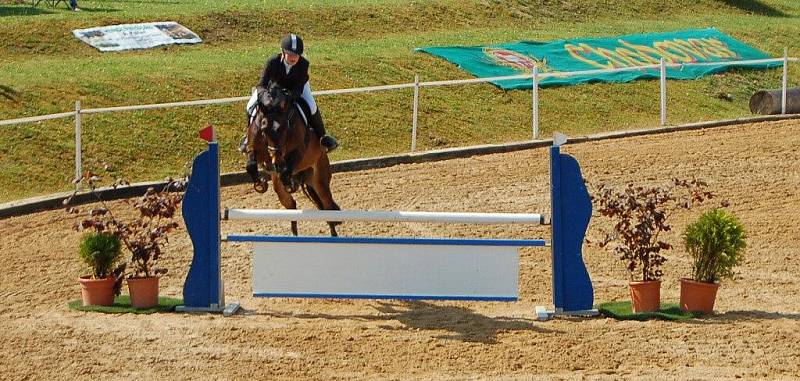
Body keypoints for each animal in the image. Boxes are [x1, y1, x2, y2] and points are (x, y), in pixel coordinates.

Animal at [242, 84, 340, 236]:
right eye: (263, 129)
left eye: (285, 128)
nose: (276, 162)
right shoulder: (254, 147)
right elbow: (251, 165)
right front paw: (260, 184)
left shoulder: (299, 151)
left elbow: (286, 170)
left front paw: (288, 182)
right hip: (284, 187)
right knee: (291, 205)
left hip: (319, 178)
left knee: (326, 204)